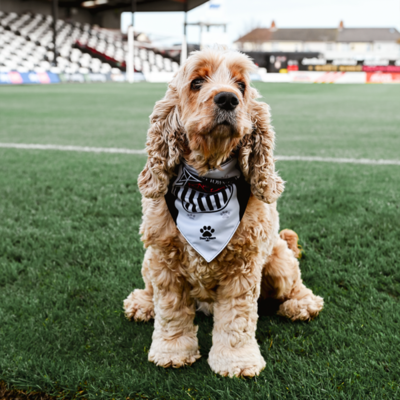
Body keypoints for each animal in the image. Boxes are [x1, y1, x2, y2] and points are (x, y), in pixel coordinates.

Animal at [123, 48, 324, 376]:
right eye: (196, 82)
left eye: (241, 85)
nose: (228, 98)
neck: (207, 181)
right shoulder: (163, 259)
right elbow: (171, 311)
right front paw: (172, 351)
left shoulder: (244, 266)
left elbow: (236, 319)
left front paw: (237, 360)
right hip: (147, 261)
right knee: (150, 288)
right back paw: (142, 303)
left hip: (278, 261)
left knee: (294, 281)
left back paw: (302, 304)